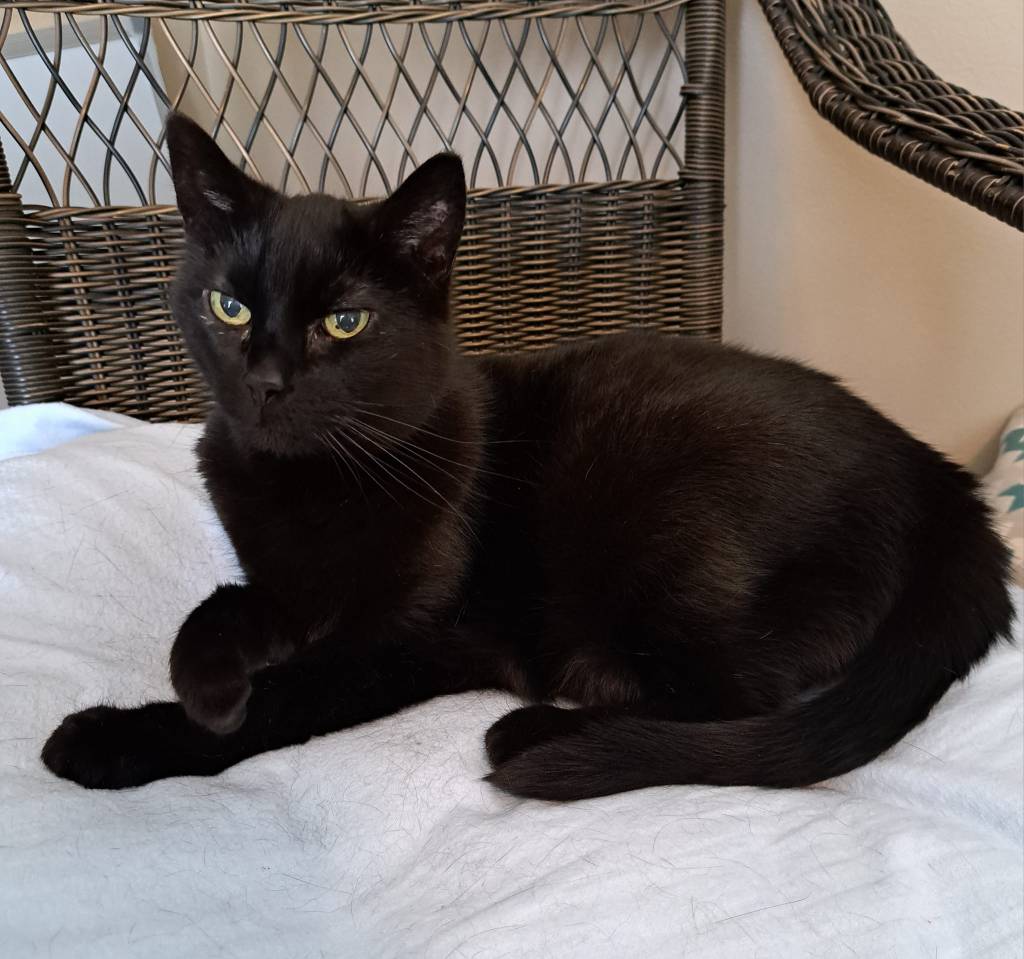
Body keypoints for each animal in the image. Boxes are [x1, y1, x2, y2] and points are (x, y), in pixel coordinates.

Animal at [41, 112, 1013, 800]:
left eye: (344, 322)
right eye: (230, 306)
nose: (268, 381)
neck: (310, 483)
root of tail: (939, 481)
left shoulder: (401, 635)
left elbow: (284, 697)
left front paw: (119, 736)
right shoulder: (286, 586)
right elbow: (219, 606)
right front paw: (208, 684)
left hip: (659, 518)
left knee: (739, 700)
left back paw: (537, 733)